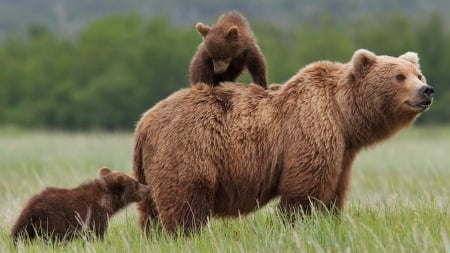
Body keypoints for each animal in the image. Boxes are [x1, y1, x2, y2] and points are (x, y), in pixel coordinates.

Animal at [133, 49, 432, 235]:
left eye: (418, 75)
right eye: (399, 76)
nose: (426, 90)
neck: (344, 117)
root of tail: (143, 123)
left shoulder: (343, 153)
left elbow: (334, 193)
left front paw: (330, 222)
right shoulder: (310, 131)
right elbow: (304, 191)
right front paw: (297, 225)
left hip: (150, 168)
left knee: (150, 211)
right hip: (188, 149)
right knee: (185, 205)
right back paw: (185, 235)